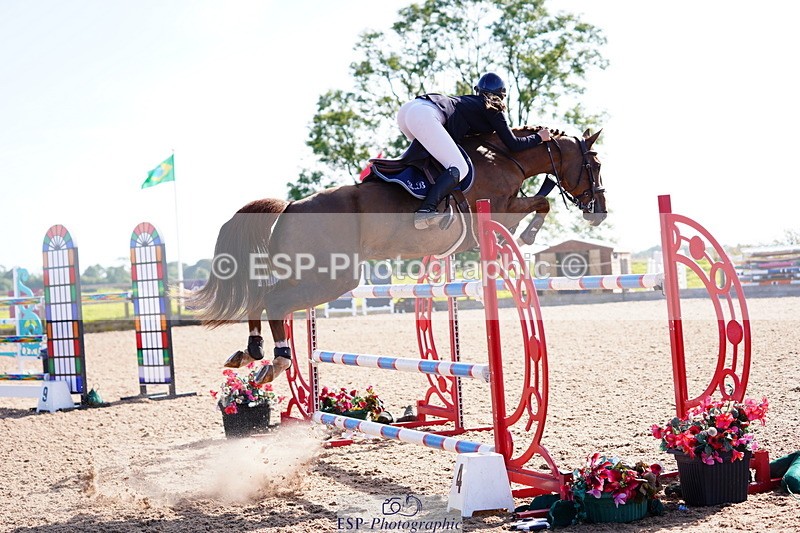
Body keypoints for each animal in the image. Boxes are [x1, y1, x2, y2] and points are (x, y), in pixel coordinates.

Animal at [188, 126, 606, 382]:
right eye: (597, 163)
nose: (598, 211)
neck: (503, 157)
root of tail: (289, 206)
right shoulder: (498, 208)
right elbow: (541, 203)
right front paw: (528, 234)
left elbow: (540, 200)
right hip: (333, 277)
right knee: (274, 301)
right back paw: (276, 360)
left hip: (307, 272)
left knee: (261, 297)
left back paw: (251, 352)